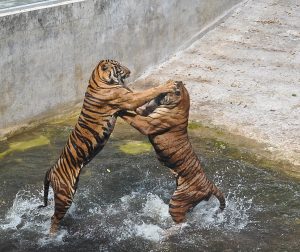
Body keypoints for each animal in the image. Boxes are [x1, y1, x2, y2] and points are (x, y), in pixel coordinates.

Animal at [38, 59, 177, 232]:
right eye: (119, 67)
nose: (130, 71)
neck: (99, 79)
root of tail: (51, 170)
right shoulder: (128, 99)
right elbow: (147, 92)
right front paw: (167, 85)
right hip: (65, 195)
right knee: (54, 218)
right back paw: (53, 235)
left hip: (71, 191)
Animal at [119, 80, 225, 222]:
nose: (160, 91)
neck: (180, 104)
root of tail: (210, 185)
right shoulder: (145, 112)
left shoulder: (146, 124)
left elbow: (131, 117)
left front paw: (117, 109)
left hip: (177, 202)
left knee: (180, 221)